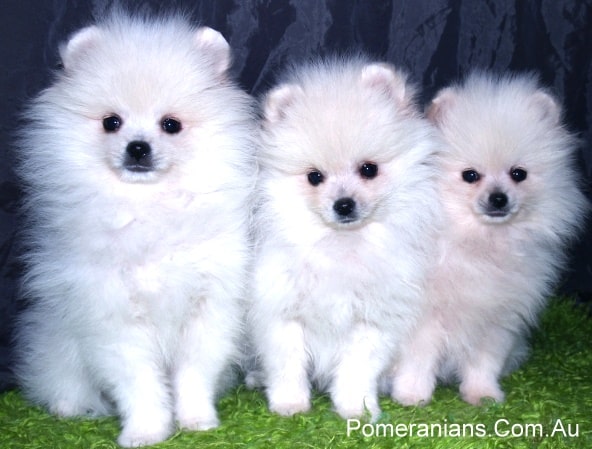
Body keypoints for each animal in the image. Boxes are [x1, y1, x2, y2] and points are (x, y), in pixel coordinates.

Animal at [15, 12, 256, 446]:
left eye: (171, 125)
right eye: (112, 122)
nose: (138, 147)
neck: (148, 208)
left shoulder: (208, 305)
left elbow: (194, 373)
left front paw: (198, 421)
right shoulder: (112, 314)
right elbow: (138, 380)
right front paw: (146, 430)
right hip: (60, 345)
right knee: (62, 380)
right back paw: (69, 407)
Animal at [247, 57, 442, 420]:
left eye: (368, 169)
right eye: (314, 177)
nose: (344, 204)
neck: (341, 244)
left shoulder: (373, 318)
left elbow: (358, 368)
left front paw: (357, 408)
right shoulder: (282, 311)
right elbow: (287, 364)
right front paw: (290, 404)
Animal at [390, 71, 588, 406]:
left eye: (518, 174)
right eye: (470, 175)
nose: (498, 198)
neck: (480, 243)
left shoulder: (497, 320)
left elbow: (484, 362)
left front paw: (482, 395)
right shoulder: (424, 318)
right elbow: (418, 359)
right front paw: (412, 396)